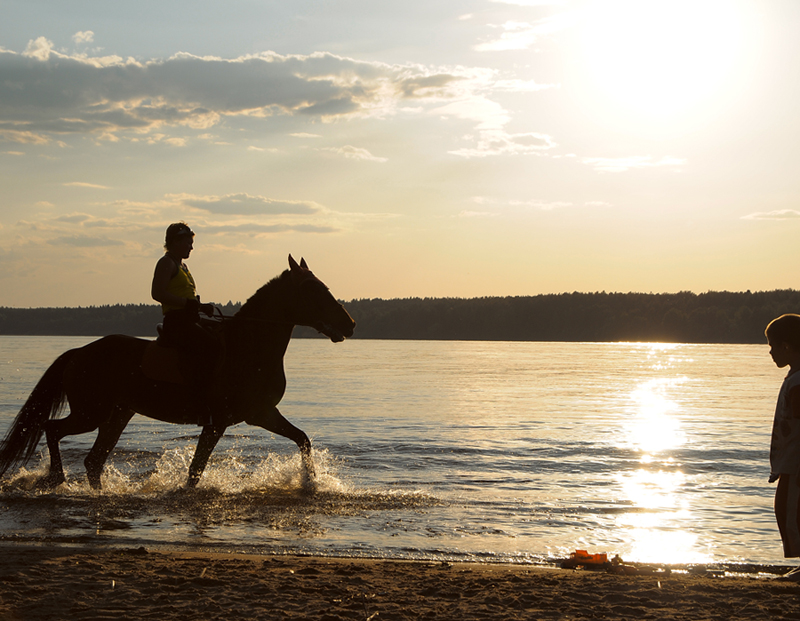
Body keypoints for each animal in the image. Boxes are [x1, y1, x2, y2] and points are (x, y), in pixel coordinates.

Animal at [0, 256, 354, 490]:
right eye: (313, 289)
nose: (349, 324)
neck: (249, 348)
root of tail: (79, 352)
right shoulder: (221, 421)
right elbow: (195, 470)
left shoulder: (261, 412)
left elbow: (302, 439)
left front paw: (311, 483)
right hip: (92, 411)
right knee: (52, 429)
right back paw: (56, 477)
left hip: (117, 414)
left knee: (92, 460)